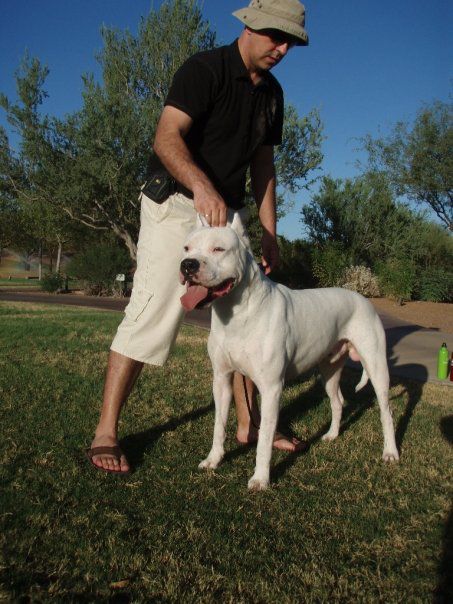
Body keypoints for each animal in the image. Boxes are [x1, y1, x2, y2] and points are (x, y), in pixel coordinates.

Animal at [178, 215, 398, 488]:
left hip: (376, 366)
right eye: (187, 248)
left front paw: (261, 478)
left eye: (219, 249)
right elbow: (219, 424)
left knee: (386, 411)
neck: (238, 313)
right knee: (337, 402)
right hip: (329, 368)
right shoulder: (221, 379)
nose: (188, 265)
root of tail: (363, 298)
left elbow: (264, 438)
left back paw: (390, 452)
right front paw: (213, 459)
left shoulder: (271, 388)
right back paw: (331, 435)